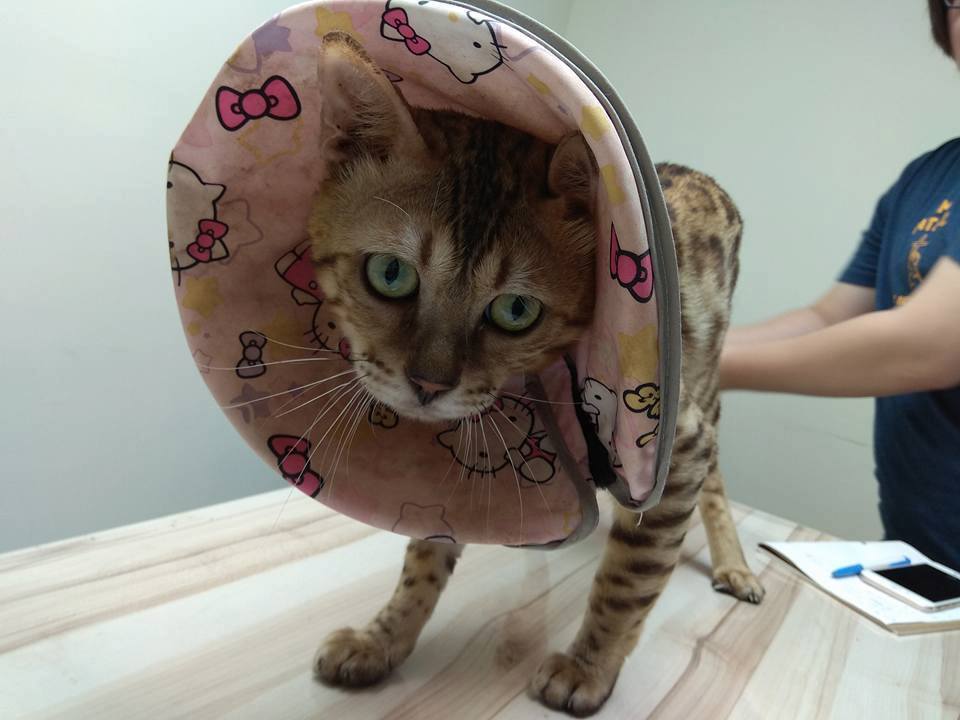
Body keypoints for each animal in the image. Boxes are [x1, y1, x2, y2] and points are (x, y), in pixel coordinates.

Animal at [307, 32, 762, 717]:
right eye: (389, 273)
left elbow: (631, 577)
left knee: (715, 482)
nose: (429, 384)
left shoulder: (677, 449)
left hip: (701, 392)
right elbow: (424, 556)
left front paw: (588, 666)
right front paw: (383, 638)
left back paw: (735, 565)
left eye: (516, 311)